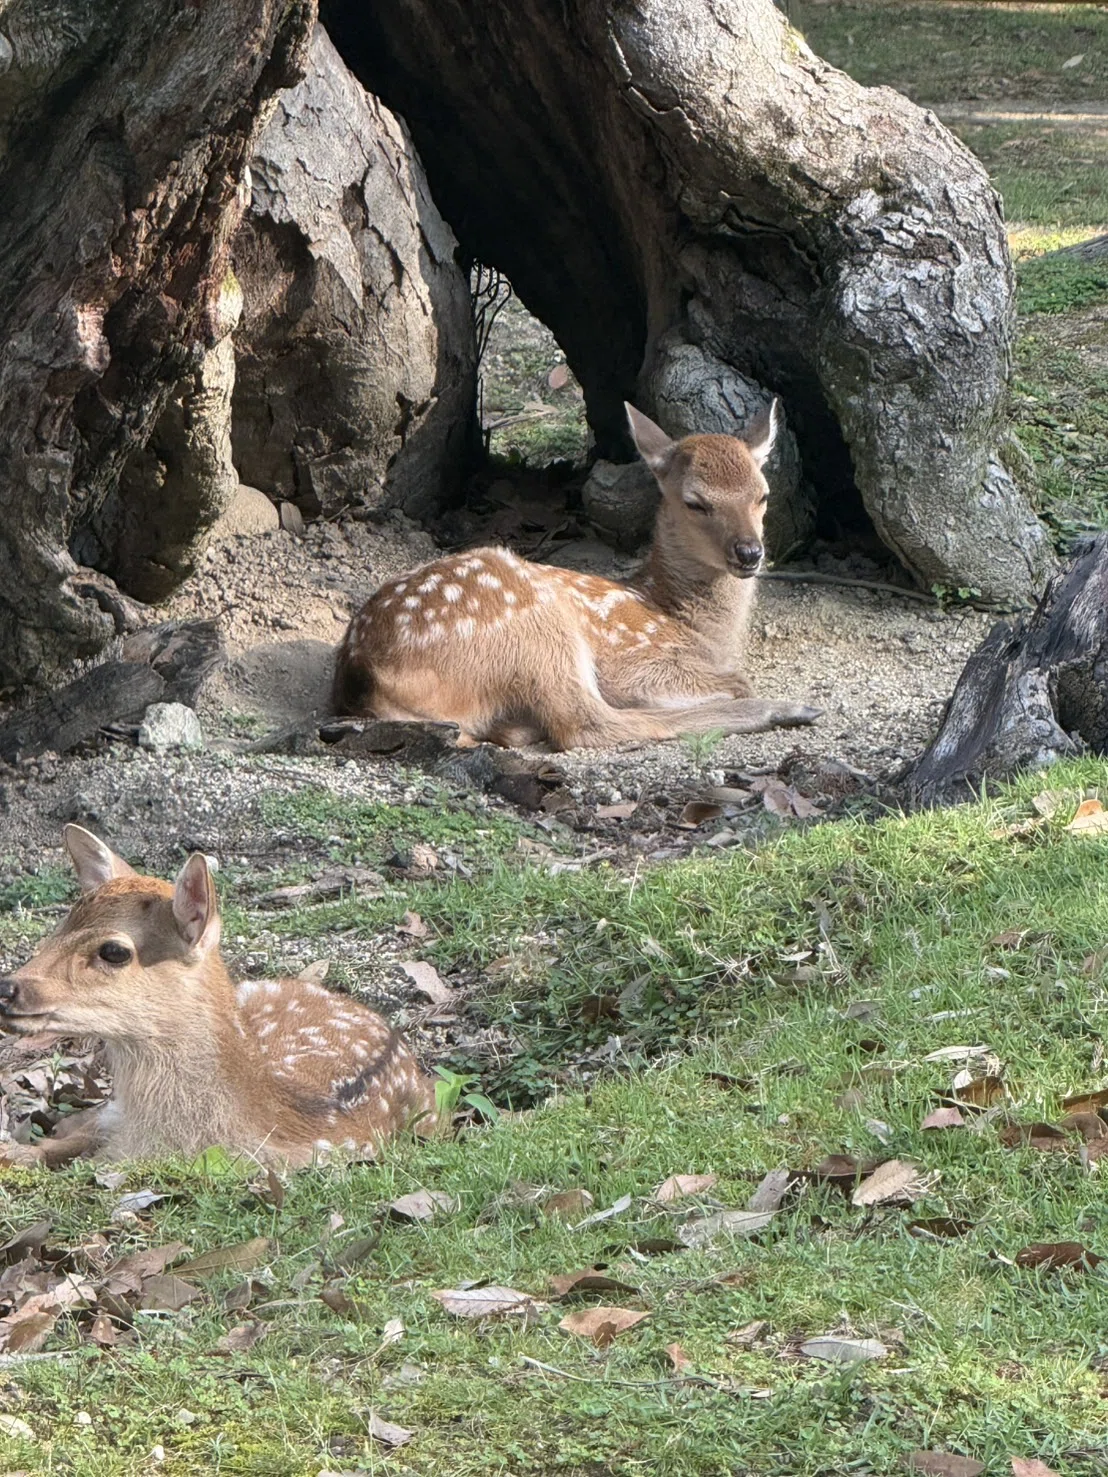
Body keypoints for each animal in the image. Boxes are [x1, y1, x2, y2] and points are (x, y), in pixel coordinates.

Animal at [333, 400, 820, 749]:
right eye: (695, 502)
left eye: (762, 495)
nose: (750, 552)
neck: (687, 622)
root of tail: (366, 674)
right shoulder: (632, 659)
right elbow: (737, 681)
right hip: (536, 631)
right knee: (584, 723)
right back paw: (789, 709)